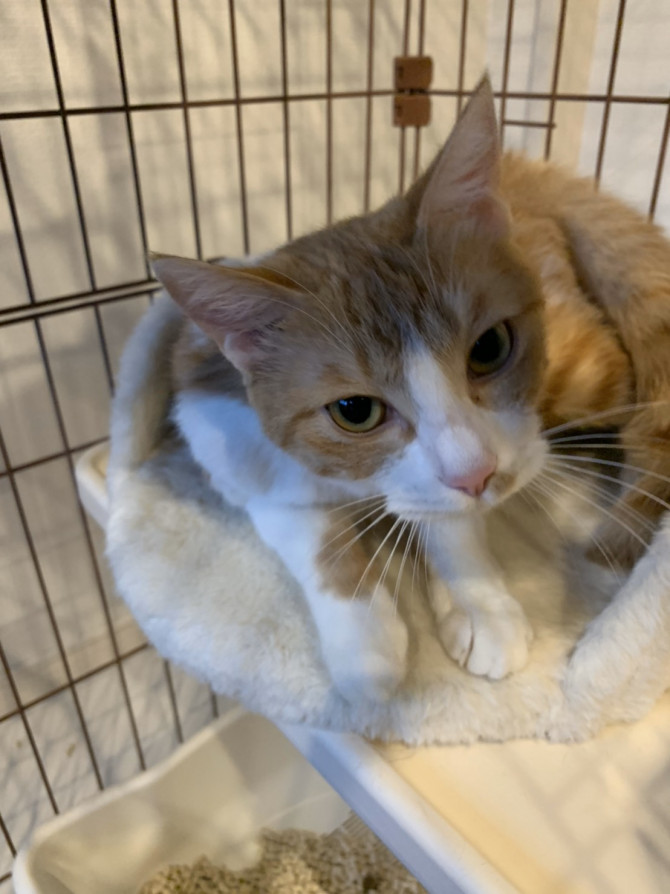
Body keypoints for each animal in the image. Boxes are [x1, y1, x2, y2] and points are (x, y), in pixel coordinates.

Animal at [150, 75, 669, 703]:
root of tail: (526, 169)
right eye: (354, 411)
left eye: (489, 347)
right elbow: (310, 529)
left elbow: (448, 519)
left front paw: (478, 601)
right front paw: (365, 640)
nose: (478, 476)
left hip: (581, 374)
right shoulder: (229, 445)